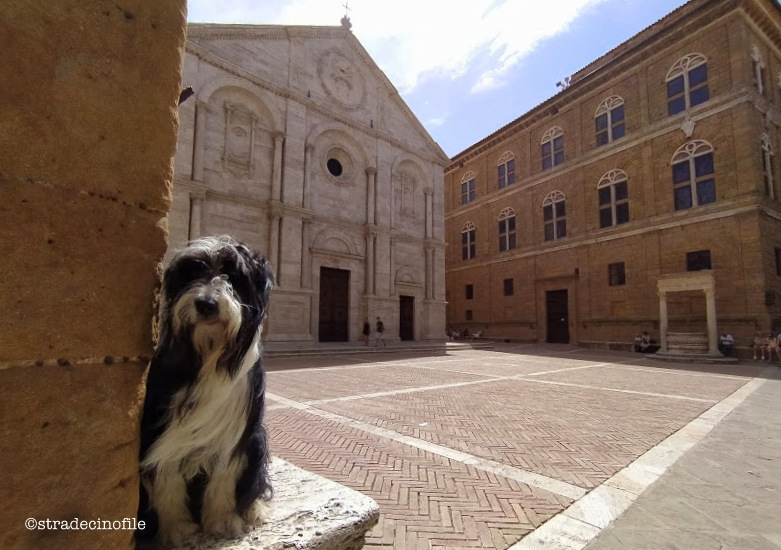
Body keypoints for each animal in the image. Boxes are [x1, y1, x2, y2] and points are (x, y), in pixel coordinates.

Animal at [137, 236, 274, 548]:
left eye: (233, 275)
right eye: (193, 272)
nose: (206, 303)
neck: (210, 354)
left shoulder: (235, 433)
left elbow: (224, 477)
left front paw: (222, 522)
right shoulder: (162, 431)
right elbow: (165, 476)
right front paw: (176, 529)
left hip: (258, 440)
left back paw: (254, 508)